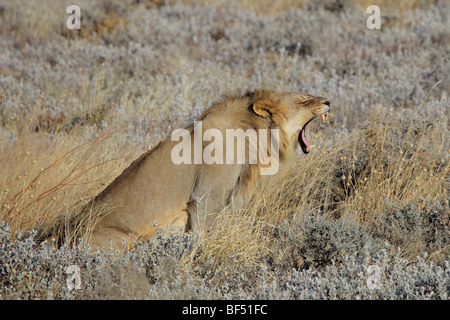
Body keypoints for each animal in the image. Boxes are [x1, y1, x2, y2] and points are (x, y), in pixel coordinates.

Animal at [37, 89, 330, 251]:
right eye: (304, 100)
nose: (328, 101)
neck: (252, 133)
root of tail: (63, 236)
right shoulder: (205, 198)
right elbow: (202, 236)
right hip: (120, 240)